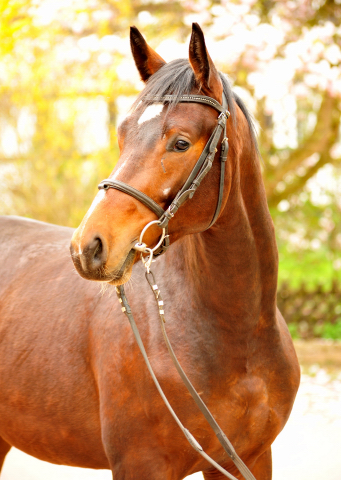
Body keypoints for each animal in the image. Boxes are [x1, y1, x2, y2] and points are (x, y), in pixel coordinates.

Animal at [0, 23, 298, 480]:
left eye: (180, 143)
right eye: (122, 134)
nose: (88, 247)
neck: (238, 334)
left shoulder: (252, 459)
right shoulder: (142, 464)